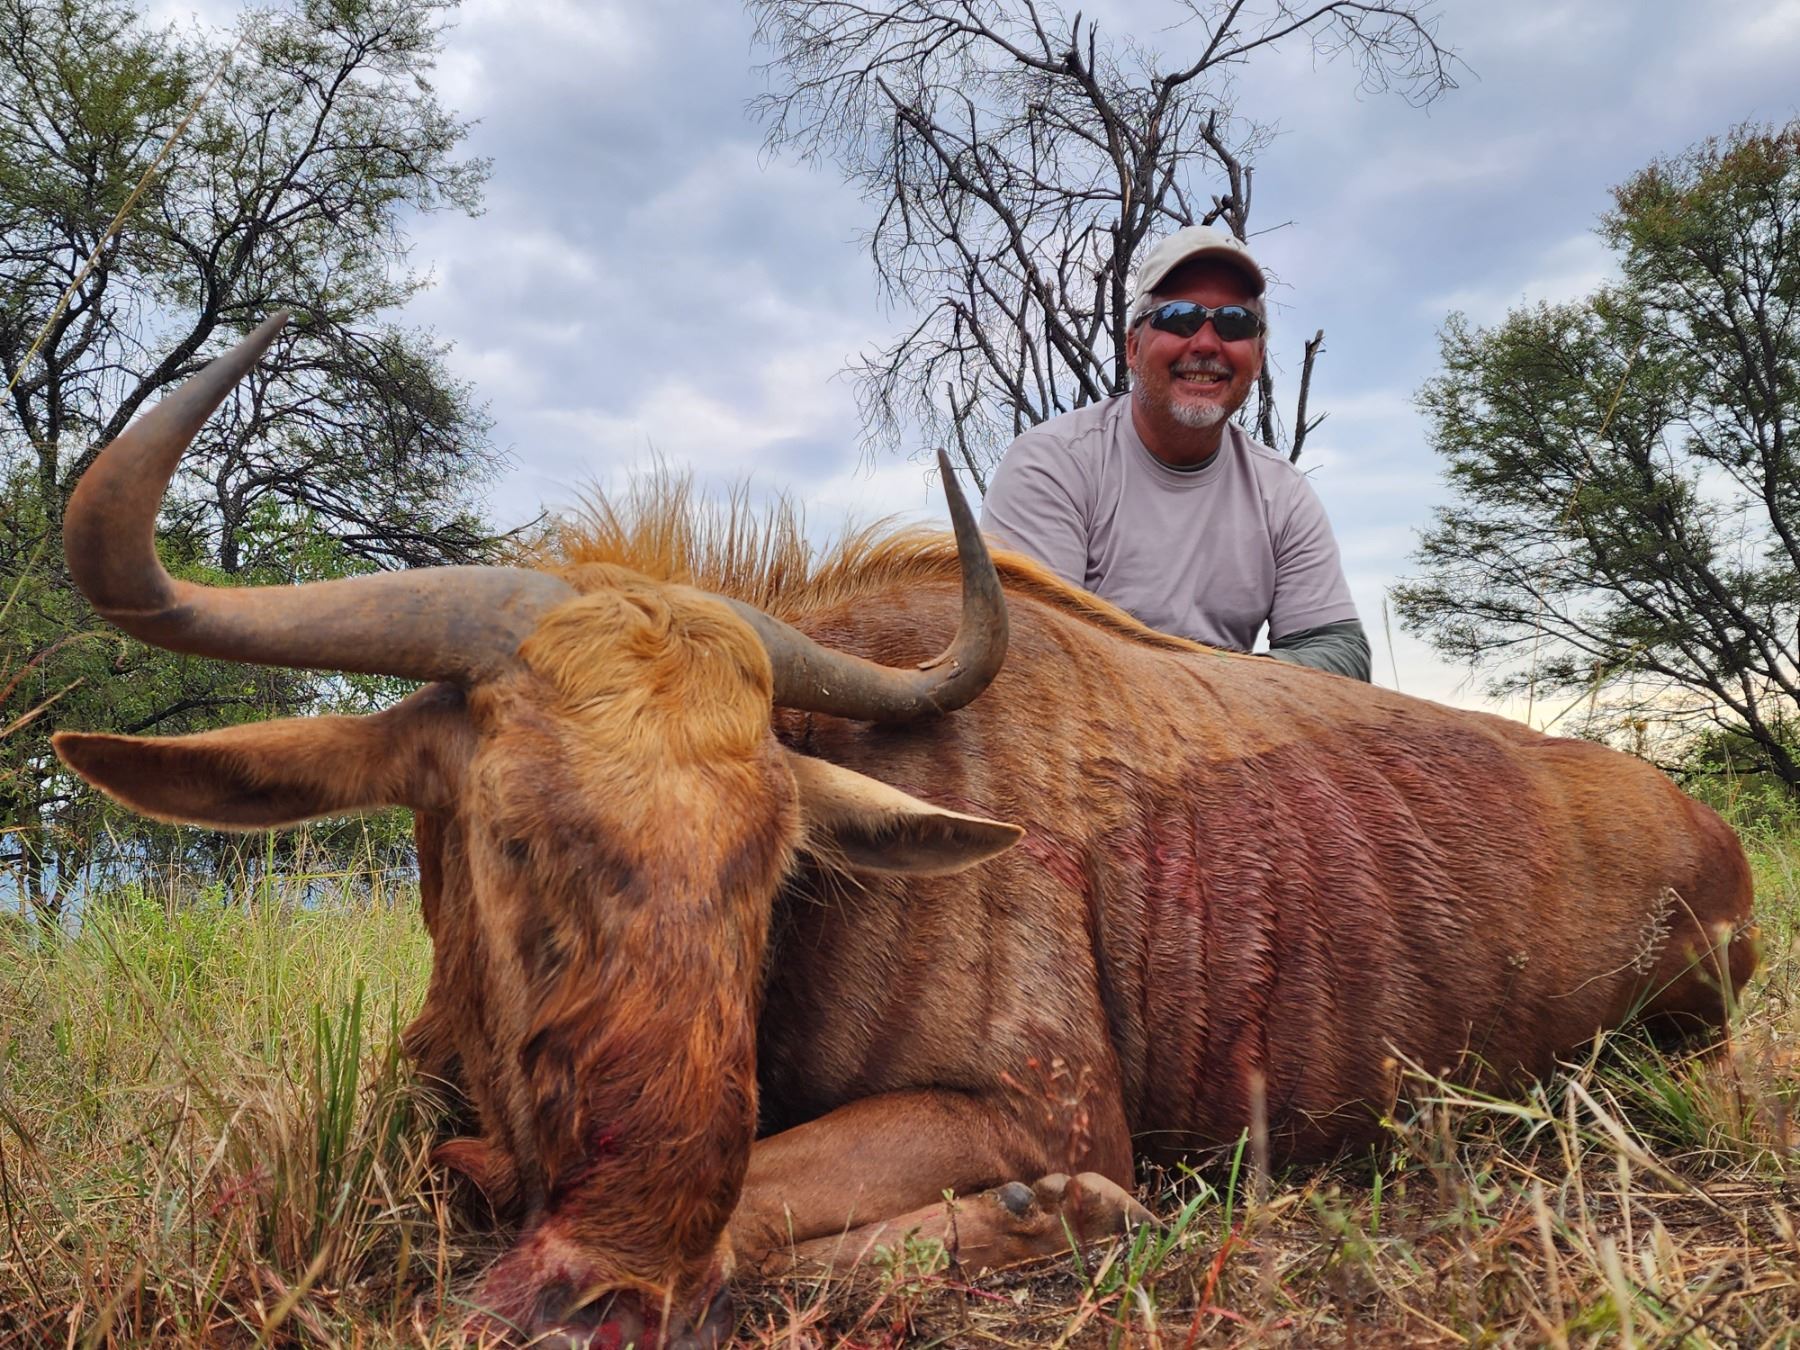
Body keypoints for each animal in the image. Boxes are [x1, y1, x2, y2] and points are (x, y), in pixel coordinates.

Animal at [55, 316, 1755, 1347]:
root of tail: (1705, 832)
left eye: (775, 869)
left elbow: (760, 1198)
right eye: (509, 835)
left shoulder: (1030, 1115)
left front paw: (1035, 1220)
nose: (601, 1279)